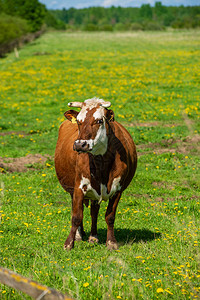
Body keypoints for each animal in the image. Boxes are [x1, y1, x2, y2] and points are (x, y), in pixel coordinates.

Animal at [54, 97, 138, 250]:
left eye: (99, 121)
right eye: (79, 121)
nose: (80, 144)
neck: (101, 163)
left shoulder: (118, 189)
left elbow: (110, 216)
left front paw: (111, 242)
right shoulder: (79, 187)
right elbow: (76, 216)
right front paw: (69, 243)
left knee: (94, 212)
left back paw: (93, 236)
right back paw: (79, 235)